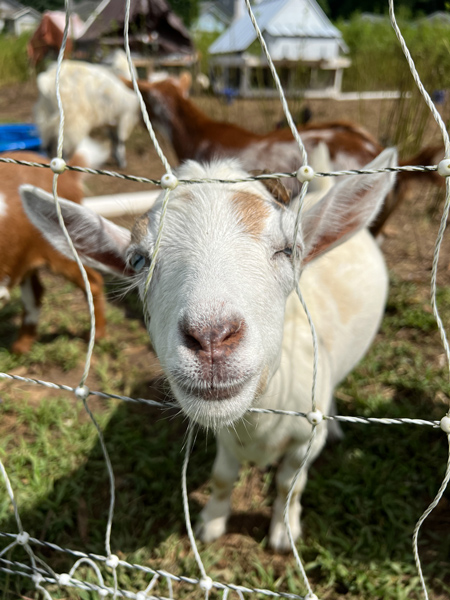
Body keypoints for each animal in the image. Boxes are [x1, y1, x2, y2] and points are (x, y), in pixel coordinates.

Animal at [21, 148, 396, 552]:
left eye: (289, 250)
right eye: (138, 260)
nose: (212, 338)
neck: (260, 424)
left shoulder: (303, 442)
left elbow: (289, 486)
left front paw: (284, 534)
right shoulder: (226, 437)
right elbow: (222, 477)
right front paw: (211, 524)